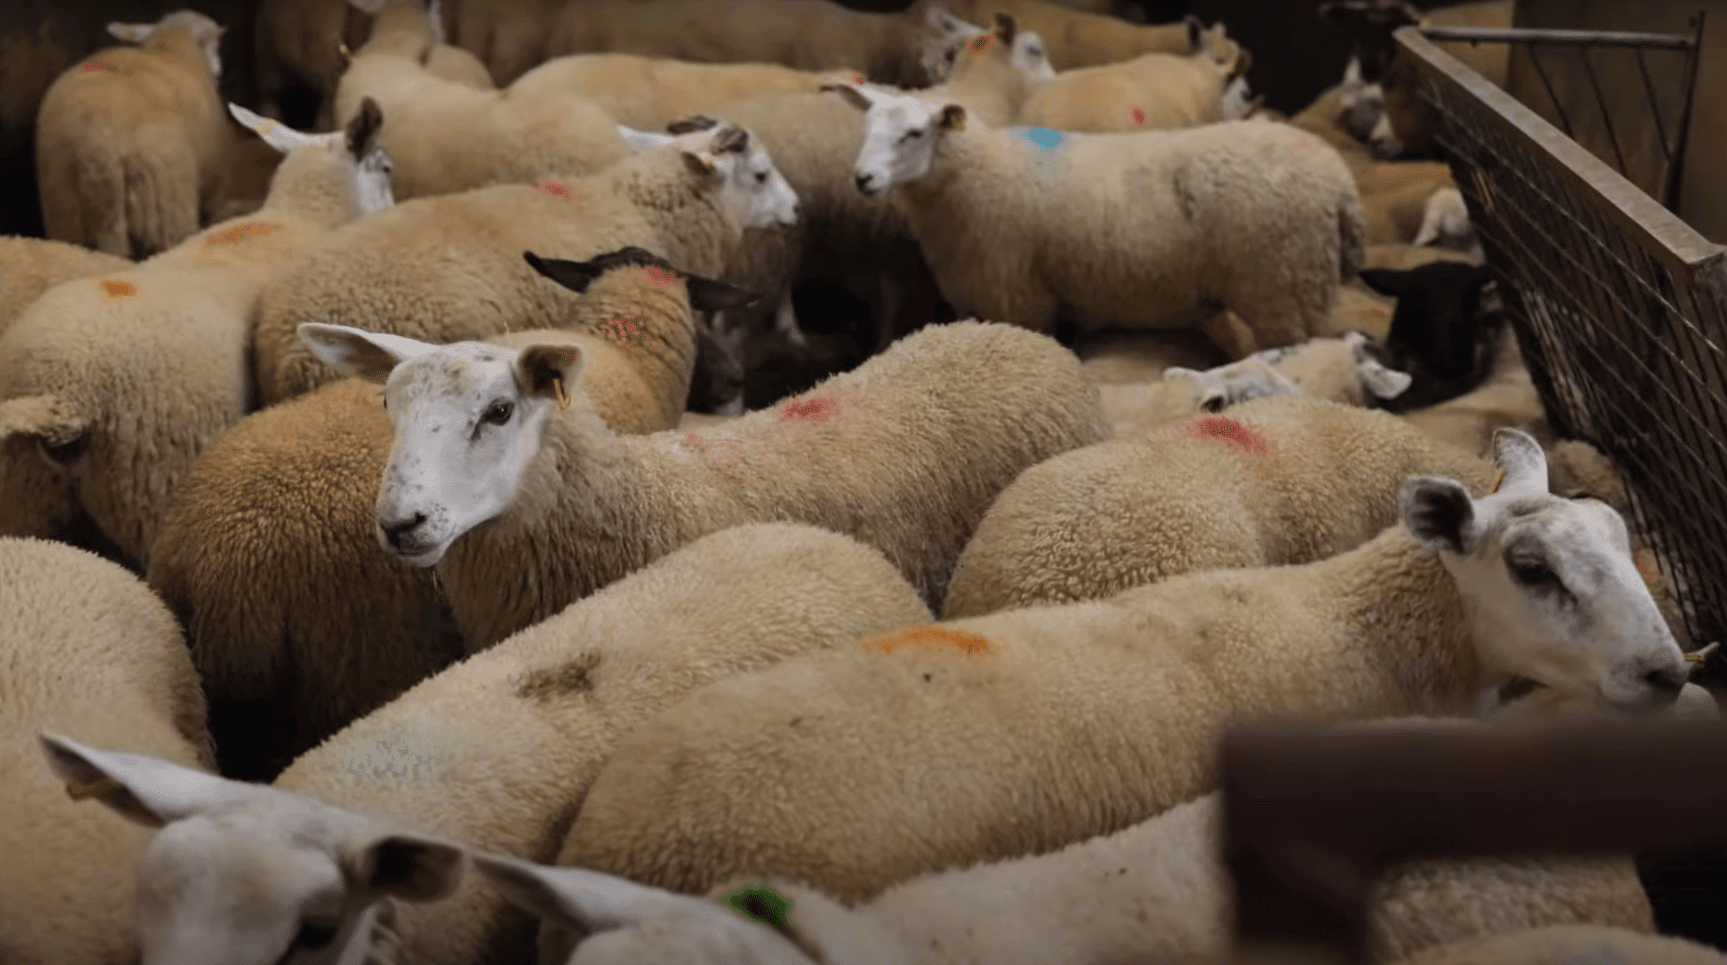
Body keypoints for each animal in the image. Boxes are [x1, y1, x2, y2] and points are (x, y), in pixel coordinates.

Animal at [838, 83, 1364, 353]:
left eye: (914, 133)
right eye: (867, 127)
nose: (863, 179)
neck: (979, 171)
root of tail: (1340, 181)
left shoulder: (1018, 298)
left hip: (1283, 287)